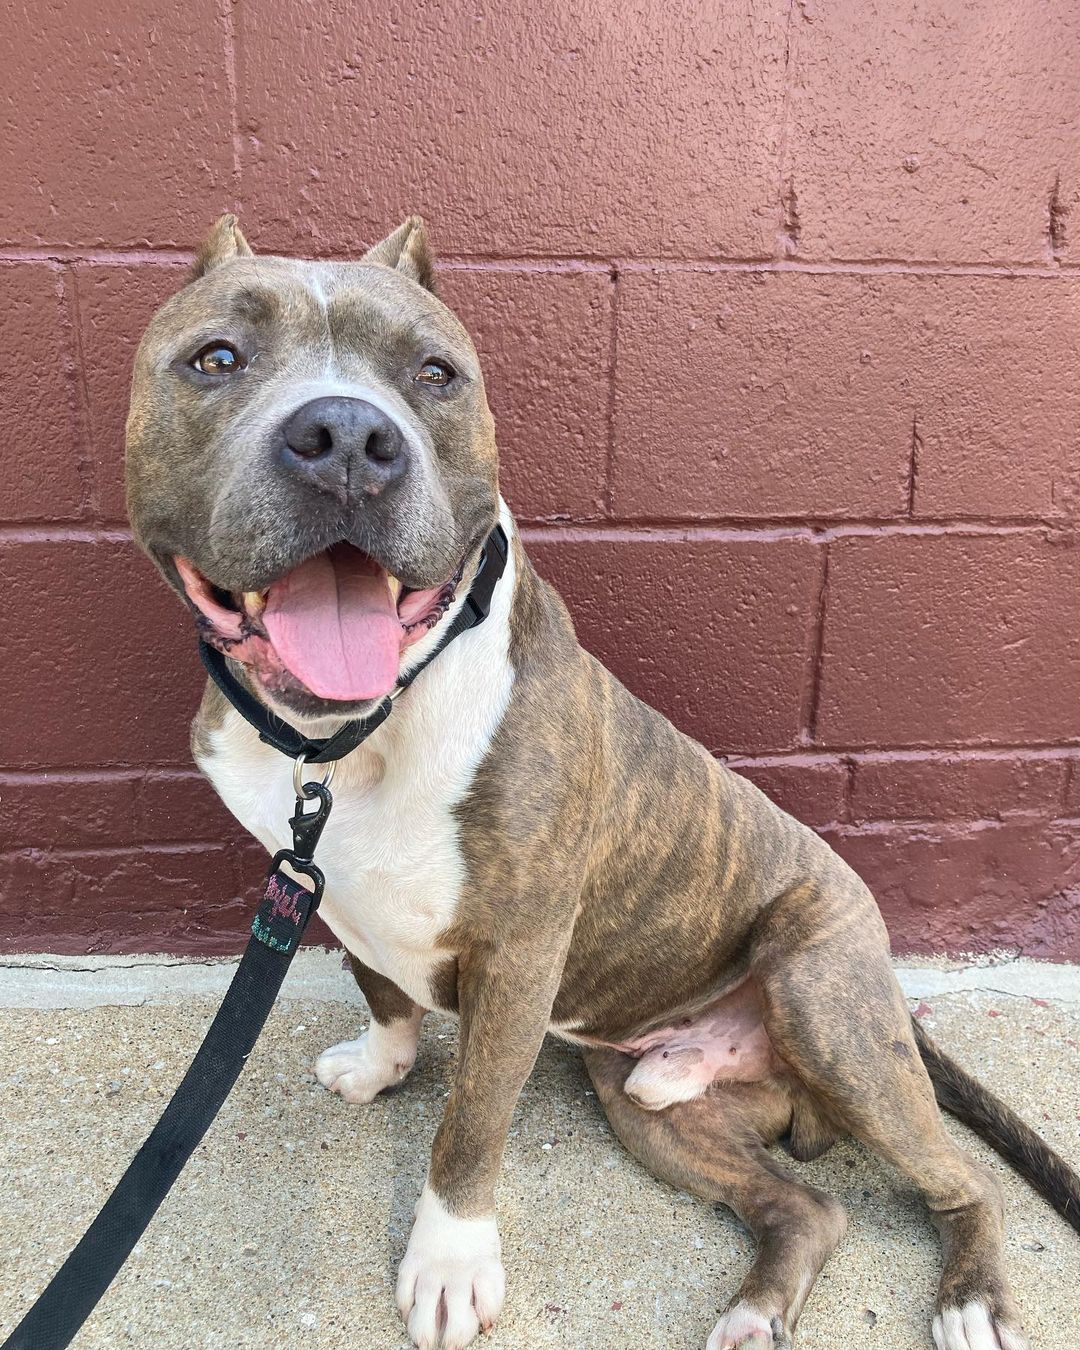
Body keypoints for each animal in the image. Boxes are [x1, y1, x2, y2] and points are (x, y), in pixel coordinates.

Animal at [122, 216, 1074, 1344]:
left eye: (435, 374)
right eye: (216, 359)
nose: (349, 437)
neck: (351, 738)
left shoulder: (518, 957)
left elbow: (469, 1127)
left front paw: (450, 1262)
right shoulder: (324, 884)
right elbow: (384, 992)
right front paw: (382, 1064)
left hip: (829, 1009)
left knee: (962, 1179)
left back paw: (972, 1298)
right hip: (645, 1104)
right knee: (809, 1209)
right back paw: (753, 1306)